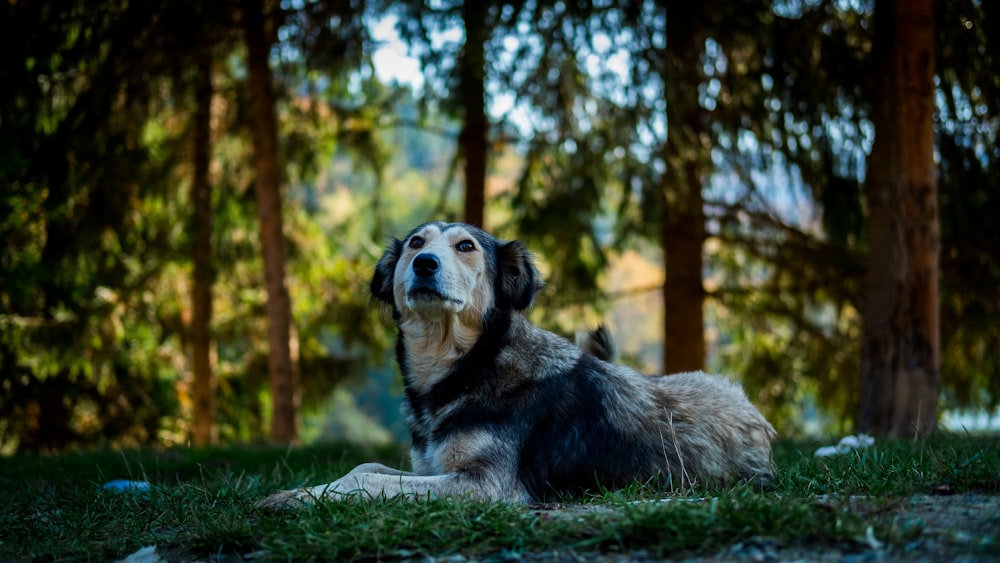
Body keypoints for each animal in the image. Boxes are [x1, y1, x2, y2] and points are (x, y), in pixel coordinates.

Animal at [258, 220, 772, 506]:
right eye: (416, 243)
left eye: (466, 246)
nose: (424, 263)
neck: (466, 367)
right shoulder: (433, 466)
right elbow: (364, 470)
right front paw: (296, 493)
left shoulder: (486, 486)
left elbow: (372, 483)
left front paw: (300, 499)